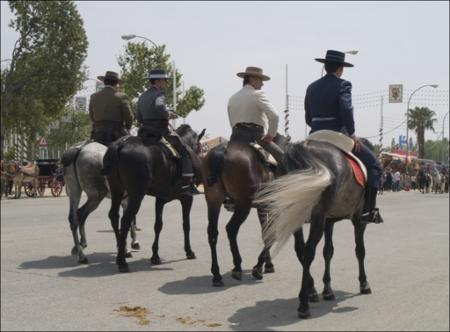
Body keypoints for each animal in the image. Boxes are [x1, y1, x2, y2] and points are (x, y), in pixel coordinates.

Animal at [101, 124, 205, 272]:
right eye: (199, 147)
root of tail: (121, 144)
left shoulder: (160, 200)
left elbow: (158, 225)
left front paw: (155, 255)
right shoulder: (187, 198)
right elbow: (186, 224)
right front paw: (189, 251)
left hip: (117, 190)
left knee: (114, 216)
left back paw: (122, 251)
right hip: (136, 194)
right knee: (126, 220)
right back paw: (122, 261)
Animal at [201, 134, 288, 286]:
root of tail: (222, 149)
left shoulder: (262, 208)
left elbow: (265, 232)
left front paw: (267, 264)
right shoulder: (273, 207)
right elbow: (270, 234)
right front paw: (259, 267)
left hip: (213, 202)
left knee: (212, 232)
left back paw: (217, 275)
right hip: (243, 206)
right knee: (231, 229)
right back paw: (237, 266)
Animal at [255, 136, 374, 318]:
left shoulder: (328, 221)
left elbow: (328, 252)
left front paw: (327, 289)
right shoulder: (357, 218)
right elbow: (360, 250)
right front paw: (364, 282)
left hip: (298, 215)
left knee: (301, 249)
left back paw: (308, 293)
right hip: (317, 217)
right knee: (309, 250)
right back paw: (304, 303)